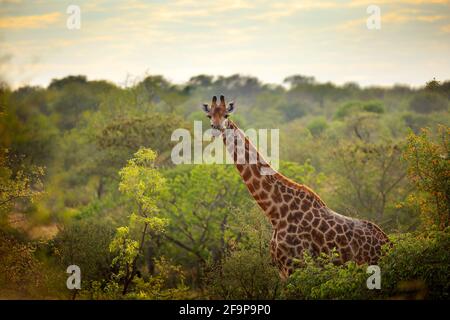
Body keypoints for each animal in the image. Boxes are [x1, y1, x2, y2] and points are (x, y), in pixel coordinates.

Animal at [202, 94, 392, 278]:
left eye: (226, 115)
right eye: (209, 115)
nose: (215, 127)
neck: (276, 213)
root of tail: (388, 242)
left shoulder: (295, 266)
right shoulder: (282, 271)